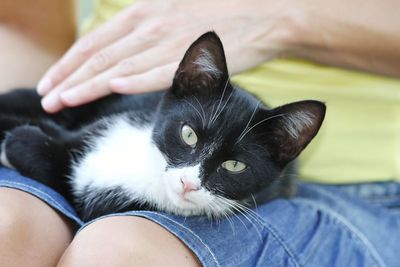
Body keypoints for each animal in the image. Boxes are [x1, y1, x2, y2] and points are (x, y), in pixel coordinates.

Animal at [0, 31, 324, 222]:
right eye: (188, 134)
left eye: (235, 165)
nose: (188, 183)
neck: (150, 172)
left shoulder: (99, 204)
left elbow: (48, 162)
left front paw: (17, 140)